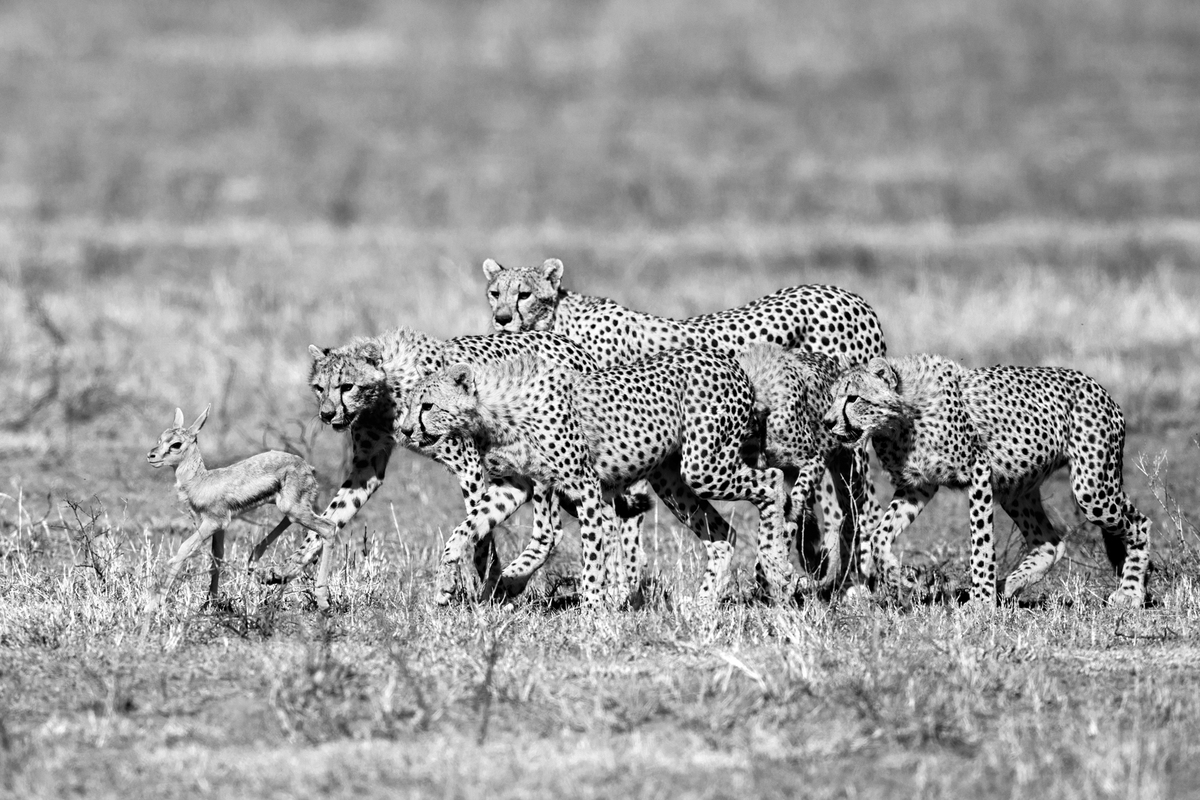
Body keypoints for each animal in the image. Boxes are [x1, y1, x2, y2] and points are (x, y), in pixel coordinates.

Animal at [399, 347, 788, 609]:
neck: (494, 409)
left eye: (427, 406)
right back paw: (704, 605)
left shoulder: (584, 486)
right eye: (410, 403)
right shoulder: (515, 485)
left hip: (704, 467)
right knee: (723, 534)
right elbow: (465, 529)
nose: (404, 430)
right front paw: (445, 583)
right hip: (672, 480)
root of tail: (727, 359)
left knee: (772, 481)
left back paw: (776, 567)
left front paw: (591, 614)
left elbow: (593, 555)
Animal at [481, 257, 887, 587]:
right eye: (494, 293)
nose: (501, 319)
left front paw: (620, 584)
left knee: (862, 507)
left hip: (847, 441)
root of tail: (849, 295)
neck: (559, 321)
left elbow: (608, 523)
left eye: (524, 294)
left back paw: (856, 582)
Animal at [822, 354, 1152, 607]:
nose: (827, 422)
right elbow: (880, 535)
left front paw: (981, 603)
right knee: (1049, 543)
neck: (900, 418)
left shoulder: (978, 471)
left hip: (1091, 488)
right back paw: (1006, 586)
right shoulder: (917, 486)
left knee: (1140, 523)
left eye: (853, 398)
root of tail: (1096, 385)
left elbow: (980, 544)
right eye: (834, 396)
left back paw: (1131, 592)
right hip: (1016, 488)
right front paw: (897, 577)